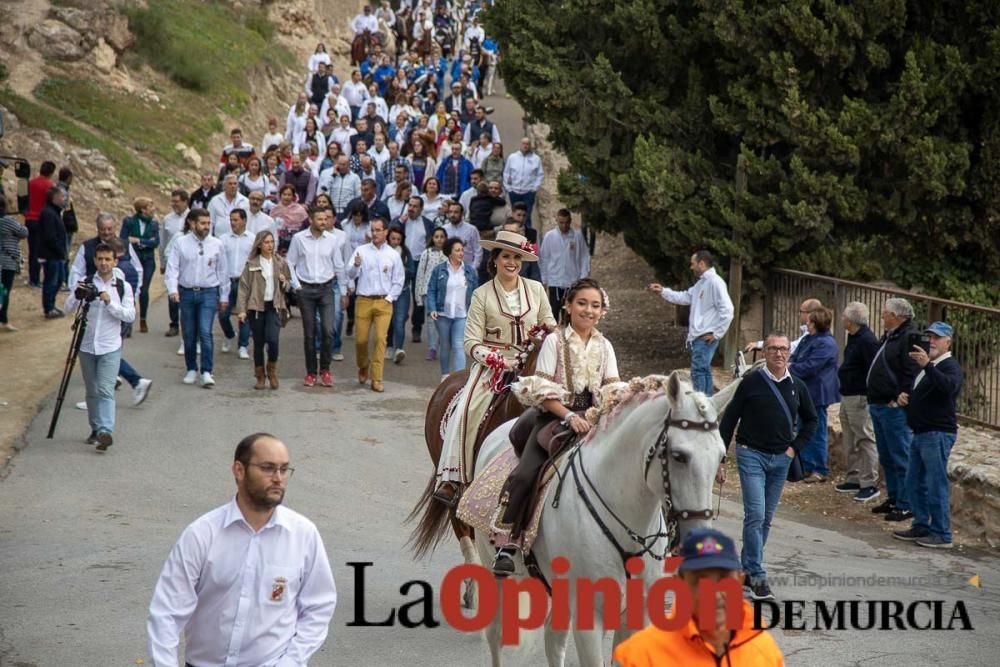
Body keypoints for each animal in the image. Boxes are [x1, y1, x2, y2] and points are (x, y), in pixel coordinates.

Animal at [472, 374, 732, 667]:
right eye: (679, 456)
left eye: (721, 456)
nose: (701, 539)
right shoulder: (590, 621)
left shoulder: (635, 615)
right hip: (494, 572)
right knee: (495, 634)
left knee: (553, 640)